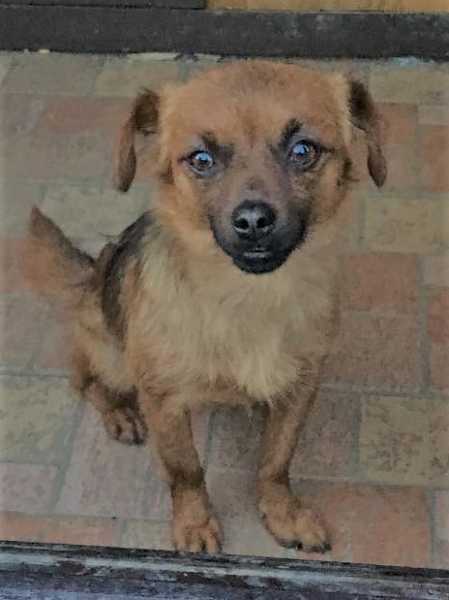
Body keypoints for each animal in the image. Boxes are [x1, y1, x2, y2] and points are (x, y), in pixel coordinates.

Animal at [26, 60, 386, 554]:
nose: (253, 221)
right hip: (111, 355)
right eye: (201, 159)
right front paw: (195, 524)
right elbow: (186, 471)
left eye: (303, 150)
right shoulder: (162, 399)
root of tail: (91, 278)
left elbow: (276, 462)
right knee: (83, 380)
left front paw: (283, 513)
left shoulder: (302, 386)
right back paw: (119, 413)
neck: (248, 297)